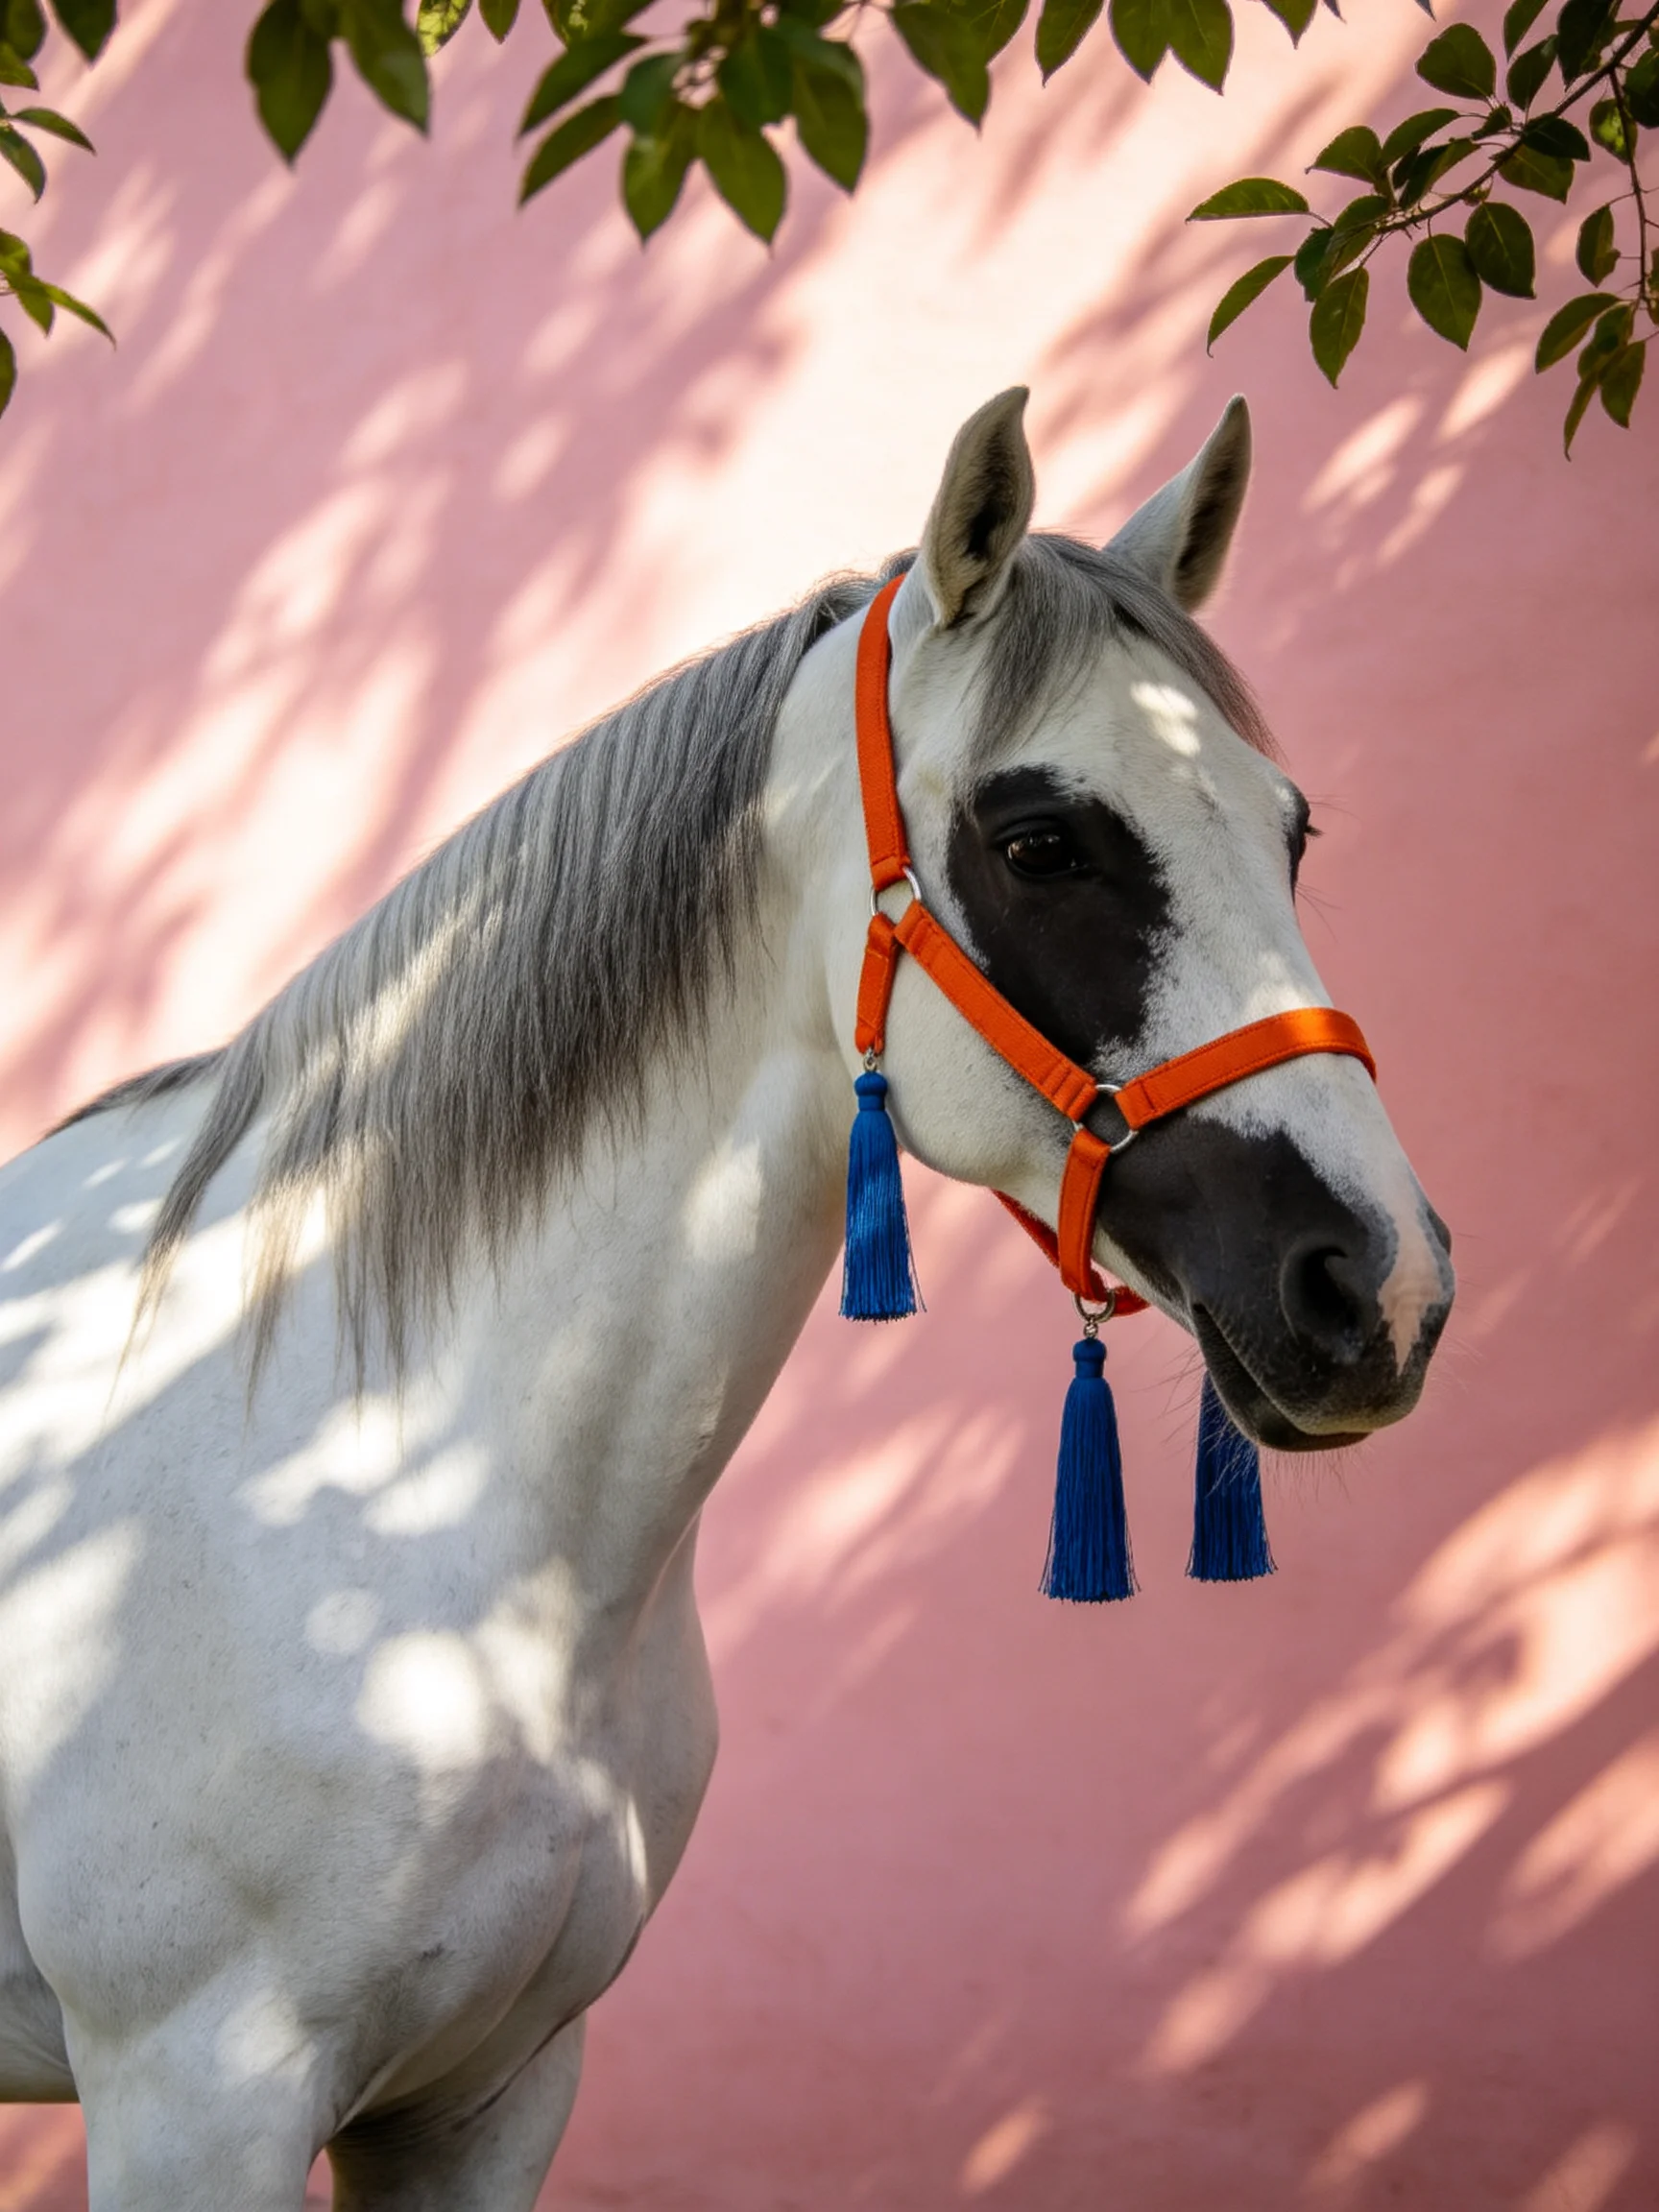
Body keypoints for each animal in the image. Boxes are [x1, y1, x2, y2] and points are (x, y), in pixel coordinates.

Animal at [0, 389, 1454, 2209]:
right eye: (1042, 841)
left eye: (1289, 829)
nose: (1377, 1281)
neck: (382, 1473)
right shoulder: (193, 2104)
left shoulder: (488, 2092)